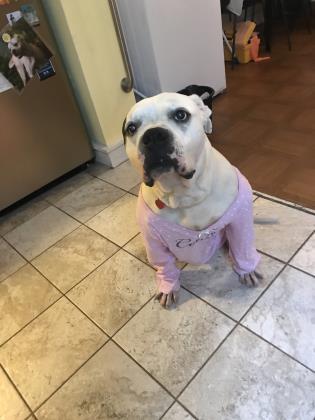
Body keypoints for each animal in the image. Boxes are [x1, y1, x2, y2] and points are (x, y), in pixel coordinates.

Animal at [124, 92, 262, 308]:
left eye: (181, 115)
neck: (184, 194)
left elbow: (243, 247)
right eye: (131, 128)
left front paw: (247, 270)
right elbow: (165, 265)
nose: (153, 136)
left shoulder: (239, 219)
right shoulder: (153, 241)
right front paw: (169, 286)